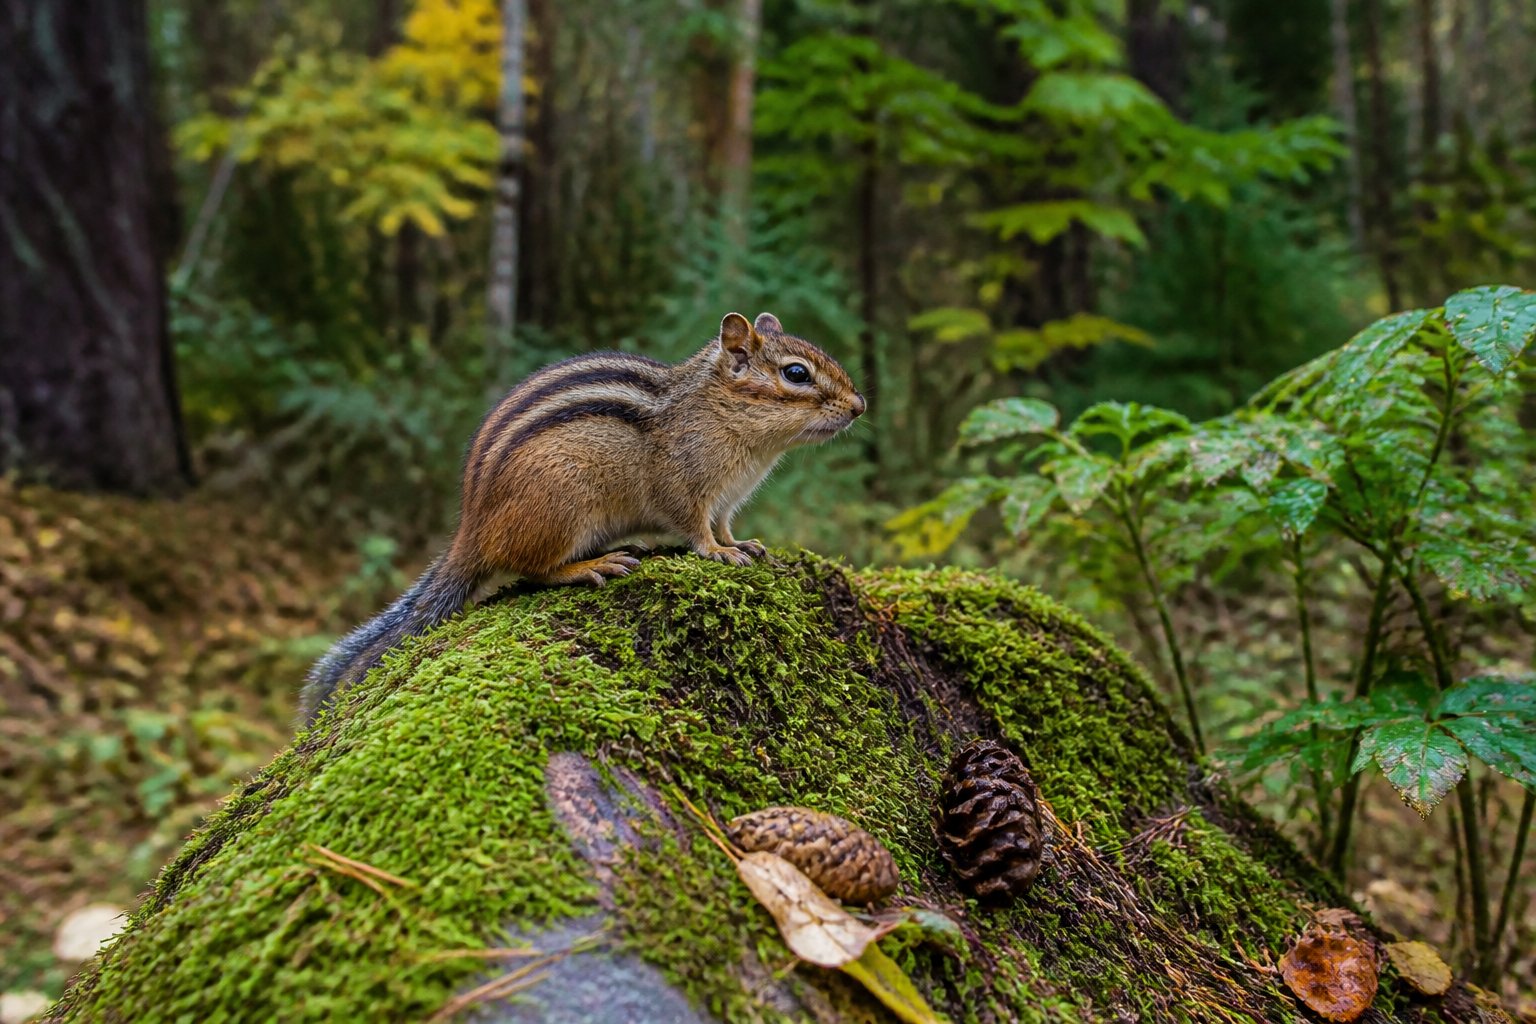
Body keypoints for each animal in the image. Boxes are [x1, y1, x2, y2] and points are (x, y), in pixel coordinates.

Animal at [299, 311, 865, 724]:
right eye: (796, 373)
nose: (860, 406)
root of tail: (472, 529)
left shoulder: (727, 499)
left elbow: (725, 526)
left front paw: (742, 545)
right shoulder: (686, 486)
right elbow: (695, 529)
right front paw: (717, 553)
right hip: (562, 506)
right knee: (531, 569)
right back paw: (591, 565)